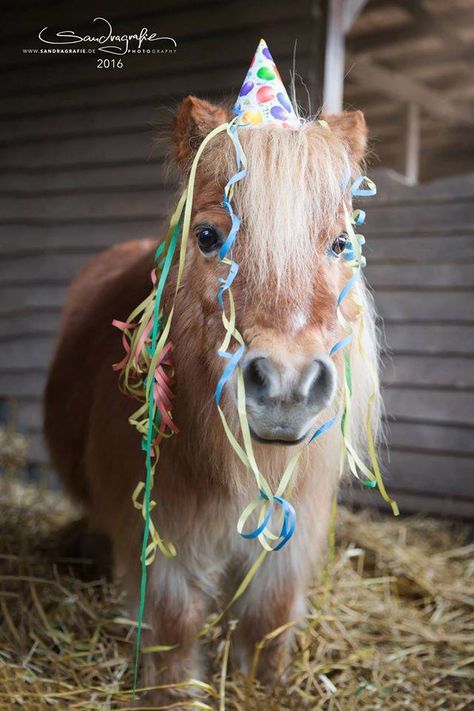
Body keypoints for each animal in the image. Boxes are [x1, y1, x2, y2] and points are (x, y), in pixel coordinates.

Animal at [43, 93, 378, 708]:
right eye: (207, 236)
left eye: (341, 243)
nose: (287, 385)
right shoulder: (160, 538)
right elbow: (174, 630)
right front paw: (174, 694)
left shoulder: (290, 540)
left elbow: (268, 621)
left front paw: (262, 688)